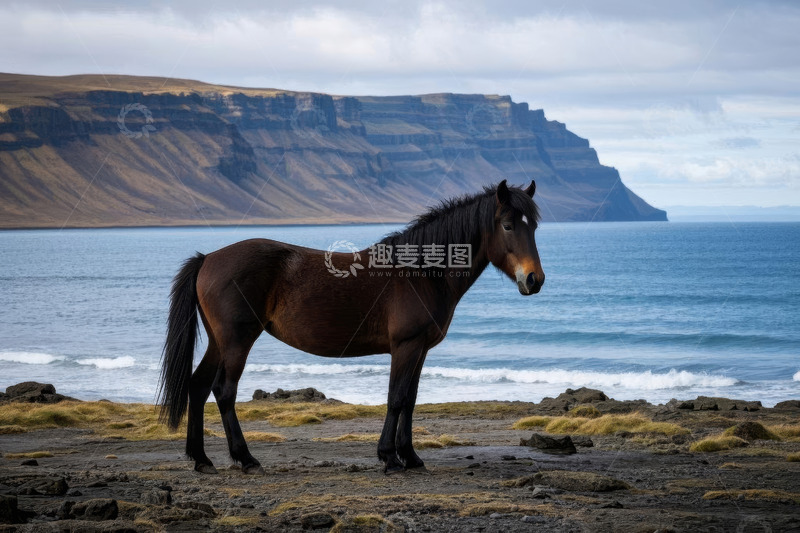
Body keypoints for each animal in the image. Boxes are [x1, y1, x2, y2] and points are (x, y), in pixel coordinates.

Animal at [157, 179, 545, 474]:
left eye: (534, 226)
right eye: (508, 225)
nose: (534, 279)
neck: (419, 273)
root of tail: (208, 258)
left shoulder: (420, 349)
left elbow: (411, 400)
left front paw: (410, 456)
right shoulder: (405, 346)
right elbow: (396, 398)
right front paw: (390, 458)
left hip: (218, 341)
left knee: (198, 386)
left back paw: (202, 459)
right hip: (237, 340)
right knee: (224, 391)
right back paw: (246, 459)